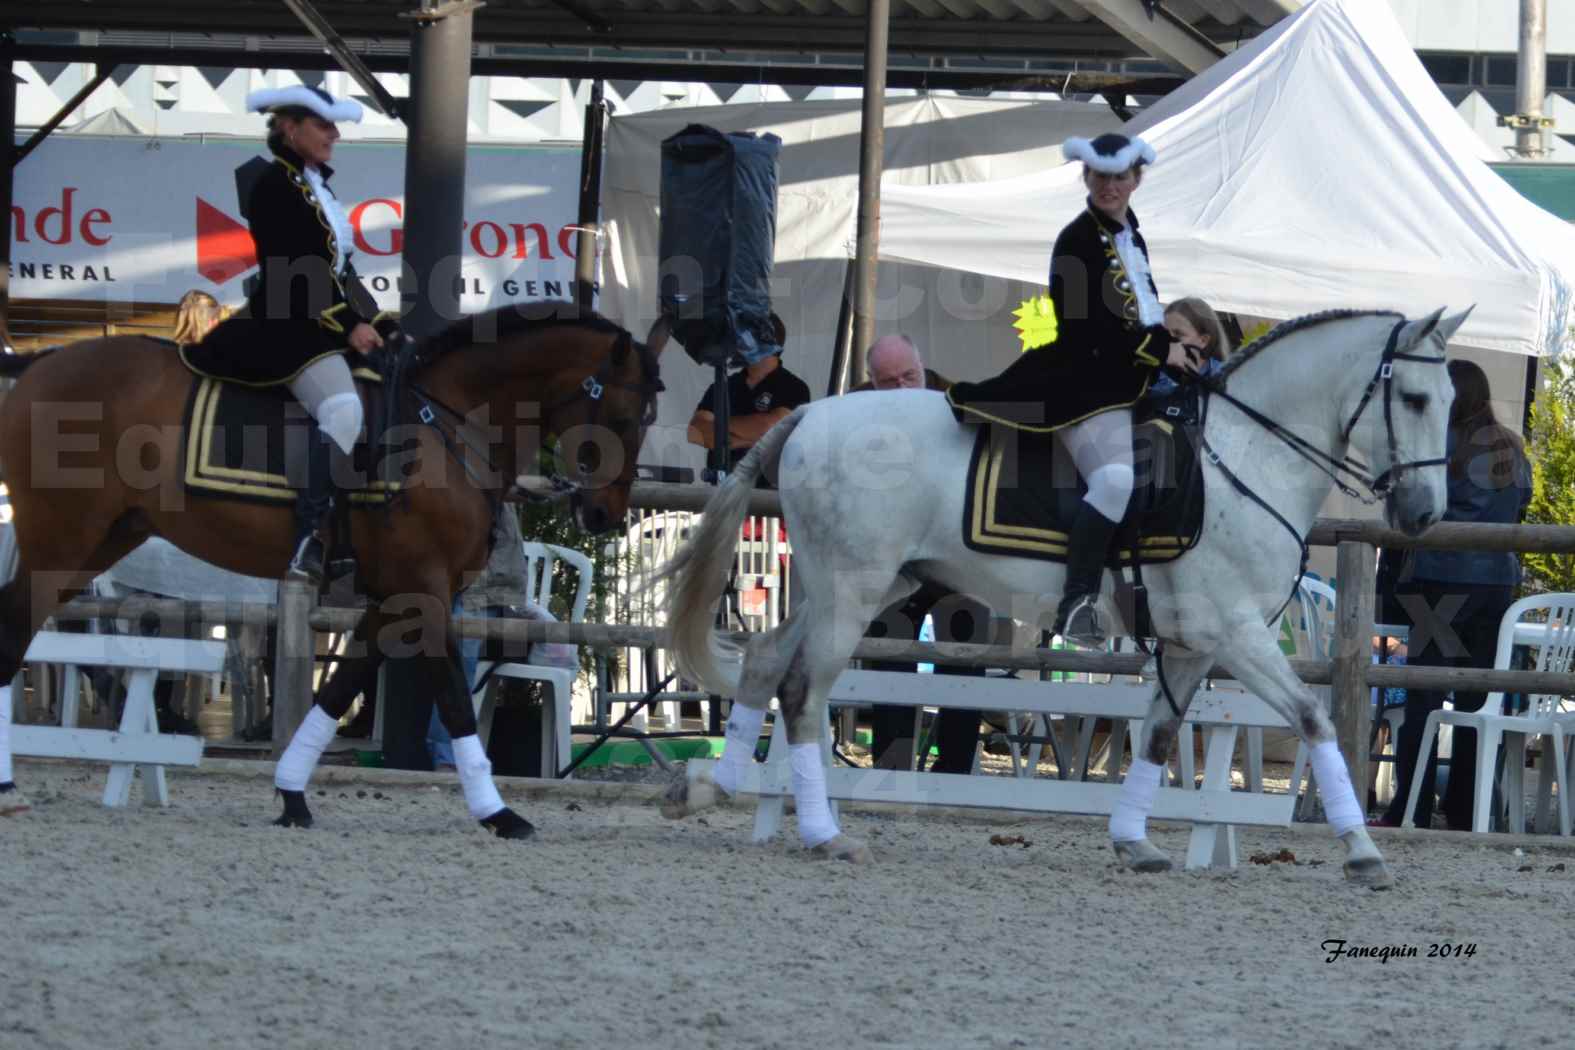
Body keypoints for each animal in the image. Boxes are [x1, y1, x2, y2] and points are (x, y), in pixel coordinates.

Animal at [0, 303, 667, 837]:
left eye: (647, 421)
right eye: (624, 418)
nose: (604, 515)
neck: (445, 425)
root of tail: (42, 363)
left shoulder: (394, 598)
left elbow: (341, 687)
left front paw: (292, 795)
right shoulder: (423, 592)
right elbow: (453, 698)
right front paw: (497, 812)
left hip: (103, 537)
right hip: (63, 537)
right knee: (15, 631)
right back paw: (6, 787)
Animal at [655, 308, 1461, 881]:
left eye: (1450, 399)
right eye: (1416, 397)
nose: (1424, 515)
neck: (1243, 456)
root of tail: (814, 413)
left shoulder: (1192, 643)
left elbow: (1157, 734)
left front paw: (1133, 842)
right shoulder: (1234, 631)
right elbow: (1313, 719)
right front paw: (1363, 853)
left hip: (852, 584)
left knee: (764, 659)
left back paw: (712, 787)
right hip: (851, 590)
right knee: (802, 692)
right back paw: (824, 835)